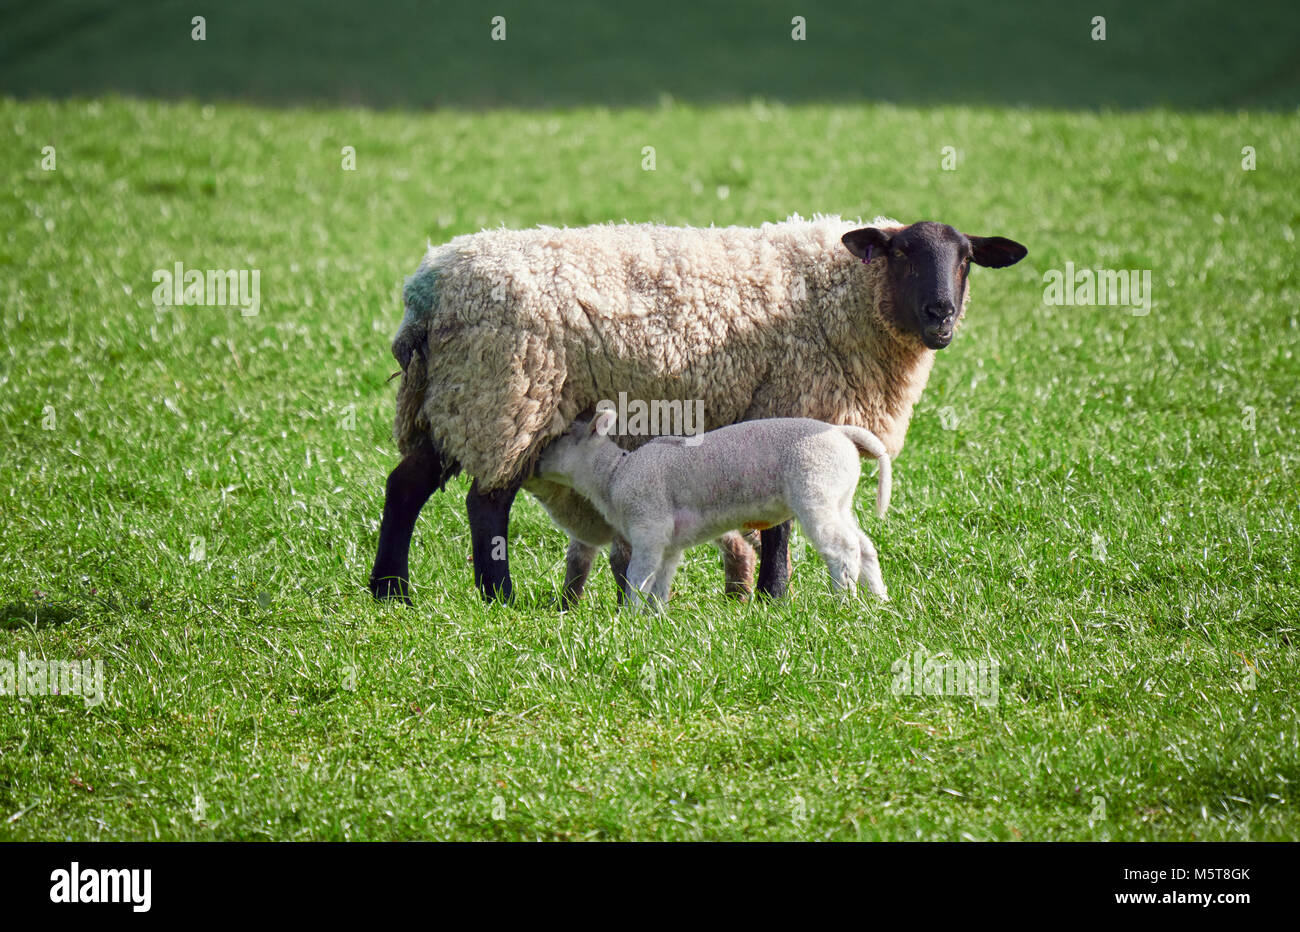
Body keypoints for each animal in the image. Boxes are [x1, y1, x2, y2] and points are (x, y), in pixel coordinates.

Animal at [538, 413, 894, 610]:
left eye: (562, 436)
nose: (536, 459)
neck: (613, 476)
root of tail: (841, 433)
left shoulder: (648, 529)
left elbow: (638, 577)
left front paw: (630, 617)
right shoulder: (669, 543)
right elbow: (661, 582)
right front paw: (655, 618)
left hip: (816, 490)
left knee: (841, 547)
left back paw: (844, 600)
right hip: (839, 497)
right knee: (863, 545)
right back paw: (878, 599)